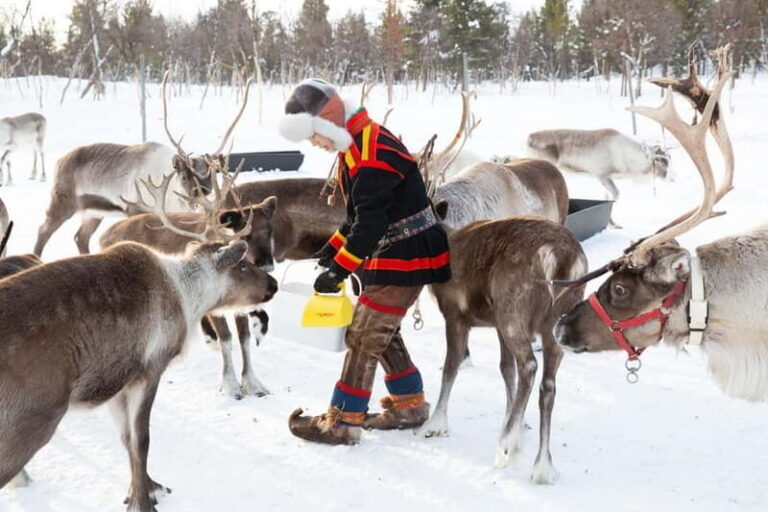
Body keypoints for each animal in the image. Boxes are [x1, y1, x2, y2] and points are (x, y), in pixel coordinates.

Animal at [0, 209, 278, 511]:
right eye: (243, 265)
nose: (273, 284)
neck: (187, 297)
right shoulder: (149, 371)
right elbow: (142, 440)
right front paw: (143, 502)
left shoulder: (116, 380)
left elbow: (126, 439)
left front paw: (145, 489)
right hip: (33, 415)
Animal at [33, 72, 252, 257]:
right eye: (184, 175)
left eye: (212, 174)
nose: (200, 196)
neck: (170, 193)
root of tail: (60, 160)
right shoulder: (135, 208)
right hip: (63, 201)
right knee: (43, 230)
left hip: (93, 212)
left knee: (80, 237)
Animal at [100, 162, 278, 399]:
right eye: (246, 235)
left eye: (269, 231)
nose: (267, 265)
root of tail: (104, 234)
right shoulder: (217, 304)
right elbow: (227, 338)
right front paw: (231, 386)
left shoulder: (240, 303)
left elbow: (245, 338)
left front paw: (253, 384)